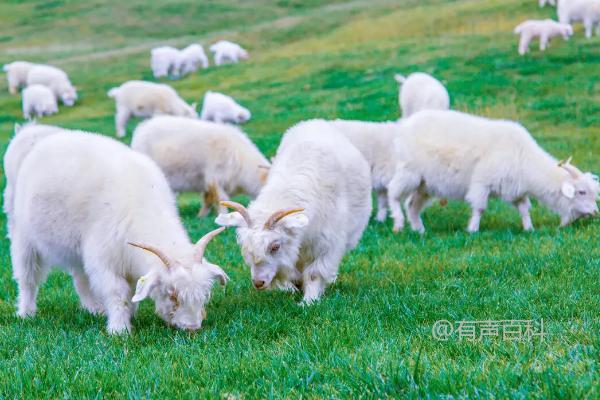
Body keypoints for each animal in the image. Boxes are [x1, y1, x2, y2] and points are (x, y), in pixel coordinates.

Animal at [9, 131, 230, 334]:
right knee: (28, 278)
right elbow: (118, 293)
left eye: (204, 295)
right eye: (171, 295)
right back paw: (26, 313)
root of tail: (48, 138)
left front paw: (128, 315)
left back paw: (93, 309)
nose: (192, 327)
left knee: (80, 280)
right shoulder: (104, 261)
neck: (142, 208)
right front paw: (119, 329)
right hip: (24, 238)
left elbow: (131, 294)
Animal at [134, 115, 272, 216]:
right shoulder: (215, 178)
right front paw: (222, 216)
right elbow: (222, 200)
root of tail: (142, 128)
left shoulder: (207, 182)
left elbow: (207, 200)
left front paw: (201, 217)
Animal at [211, 119, 370, 304]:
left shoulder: (326, 243)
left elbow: (315, 273)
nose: (258, 282)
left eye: (275, 246)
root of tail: (315, 122)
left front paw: (309, 301)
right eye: (244, 246)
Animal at [386, 111, 596, 233]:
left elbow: (523, 209)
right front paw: (472, 230)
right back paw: (398, 224)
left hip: (425, 185)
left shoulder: (515, 189)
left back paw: (419, 230)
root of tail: (404, 126)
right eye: (581, 192)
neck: (523, 156)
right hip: (409, 171)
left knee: (412, 204)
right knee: (393, 194)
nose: (595, 212)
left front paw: (529, 229)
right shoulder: (482, 182)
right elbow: (479, 208)